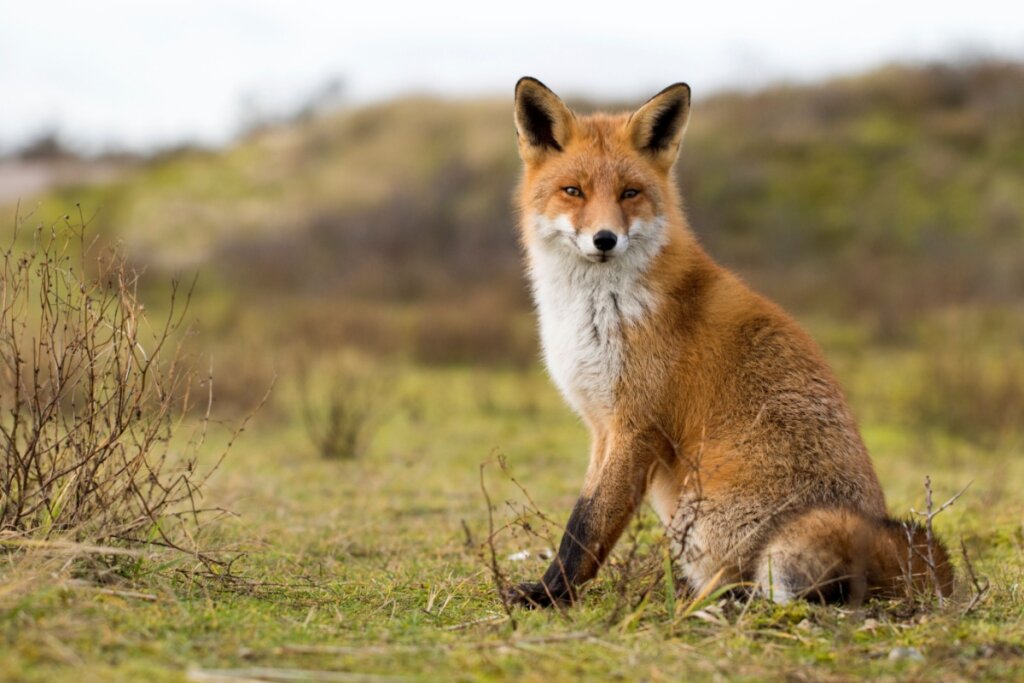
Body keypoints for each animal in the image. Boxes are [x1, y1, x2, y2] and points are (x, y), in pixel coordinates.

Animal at [506, 77, 955, 608]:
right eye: (572, 191)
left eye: (630, 193)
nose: (604, 239)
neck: (596, 310)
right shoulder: (602, 426)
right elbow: (585, 515)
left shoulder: (637, 424)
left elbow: (587, 526)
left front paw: (548, 595)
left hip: (698, 514)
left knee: (747, 586)